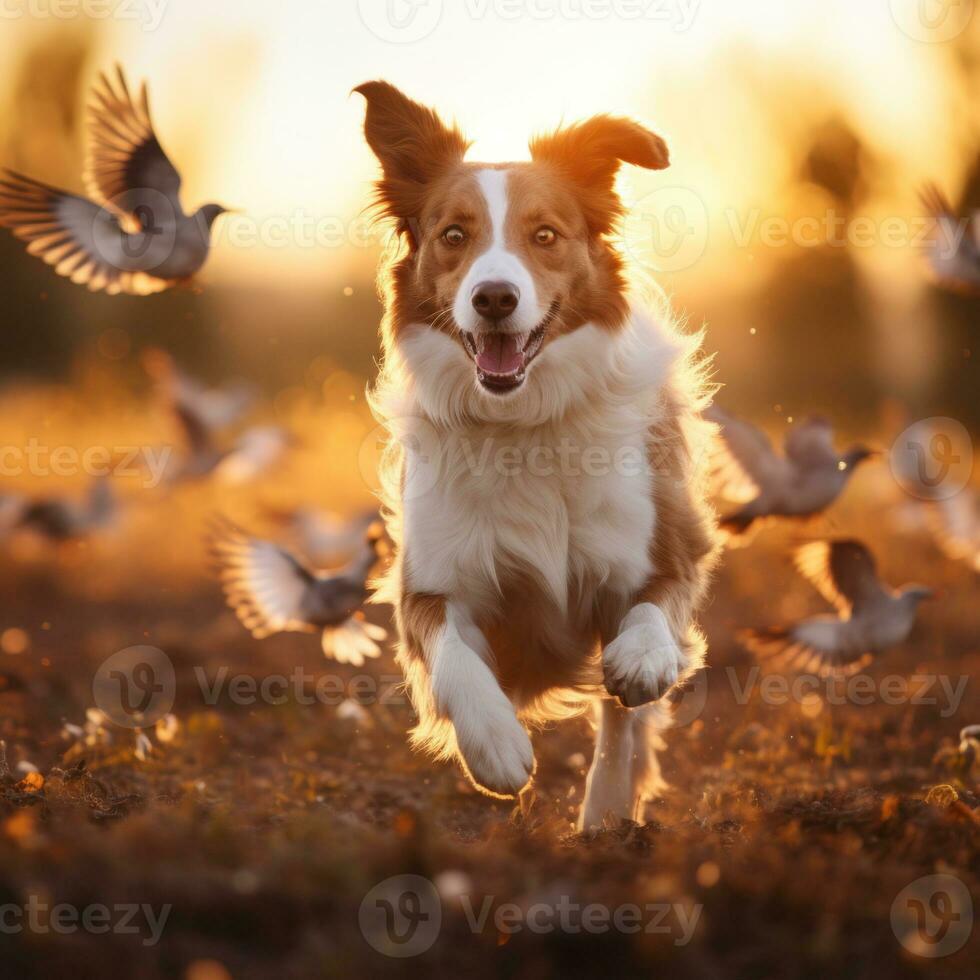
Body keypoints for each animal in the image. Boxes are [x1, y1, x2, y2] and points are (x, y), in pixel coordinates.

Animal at [356, 80, 716, 828]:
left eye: (545, 235)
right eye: (454, 235)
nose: (495, 297)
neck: (523, 421)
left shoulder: (666, 548)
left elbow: (649, 623)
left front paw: (642, 659)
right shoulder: (429, 583)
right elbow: (453, 657)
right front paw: (494, 745)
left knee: (622, 724)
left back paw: (606, 812)